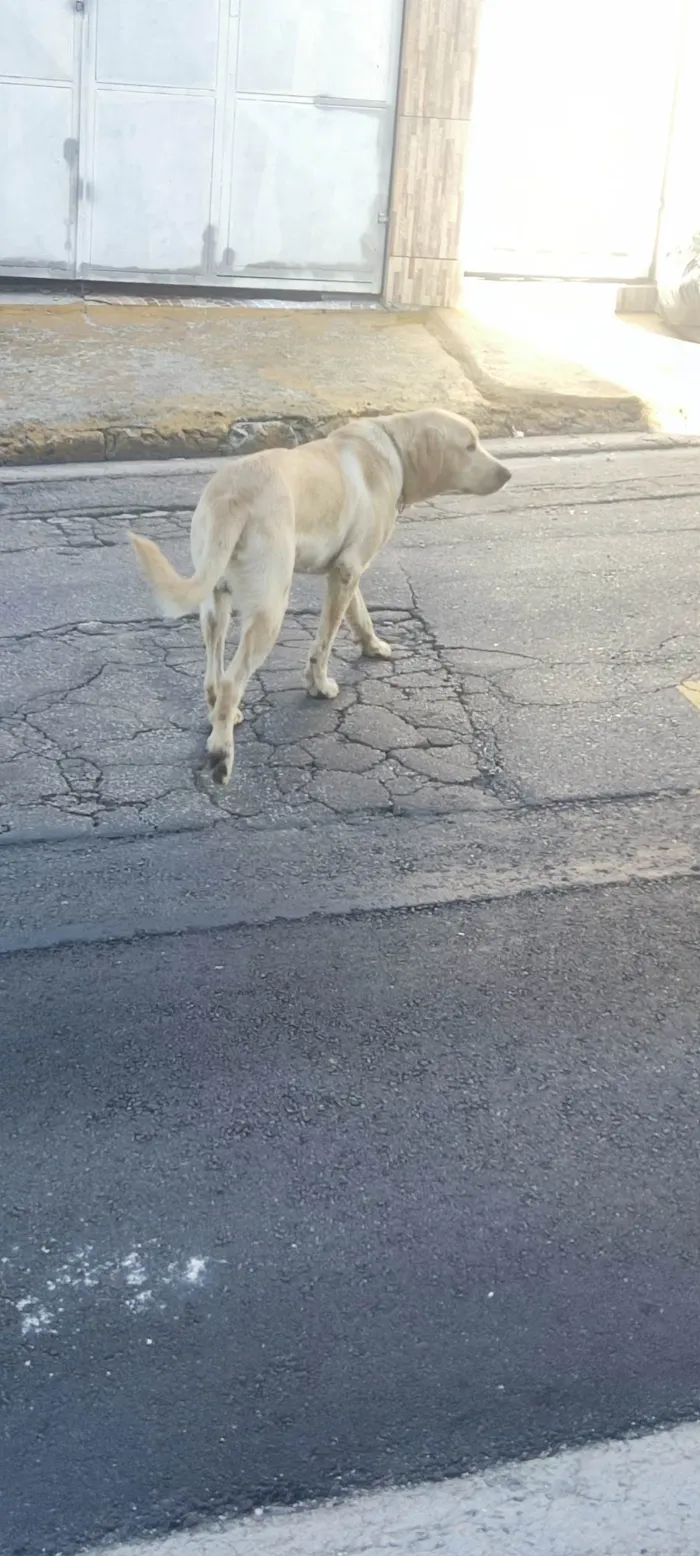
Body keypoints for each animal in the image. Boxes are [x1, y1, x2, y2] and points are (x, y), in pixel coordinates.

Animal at [129, 407, 507, 784]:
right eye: (470, 445)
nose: (507, 474)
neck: (395, 450)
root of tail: (231, 496)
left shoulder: (345, 570)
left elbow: (359, 614)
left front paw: (372, 646)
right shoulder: (347, 571)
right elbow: (324, 643)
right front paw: (319, 686)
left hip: (214, 603)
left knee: (214, 675)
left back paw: (222, 716)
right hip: (270, 610)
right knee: (232, 682)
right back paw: (222, 752)